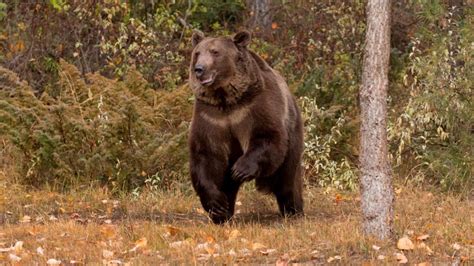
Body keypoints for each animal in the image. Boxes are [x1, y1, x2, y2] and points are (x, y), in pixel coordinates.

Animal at [188, 29, 304, 224]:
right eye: (197, 53)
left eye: (215, 52)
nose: (199, 69)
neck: (227, 99)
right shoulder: (211, 116)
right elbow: (206, 154)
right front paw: (216, 204)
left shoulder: (256, 107)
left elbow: (267, 136)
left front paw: (240, 169)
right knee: (227, 185)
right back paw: (223, 214)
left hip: (293, 132)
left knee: (288, 179)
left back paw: (293, 210)